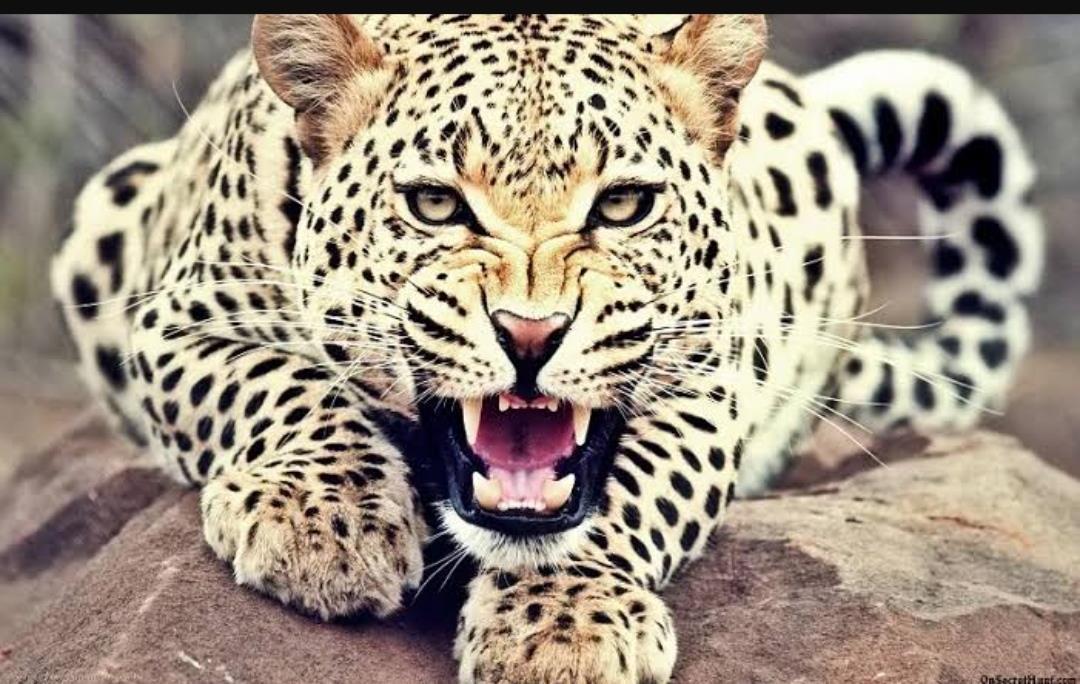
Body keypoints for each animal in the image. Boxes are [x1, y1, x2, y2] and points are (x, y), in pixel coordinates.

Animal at [51, 14, 1043, 683]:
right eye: (436, 204)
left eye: (624, 205)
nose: (531, 333)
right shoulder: (175, 318)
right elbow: (283, 386)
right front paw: (322, 524)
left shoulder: (707, 376)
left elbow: (630, 493)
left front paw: (562, 626)